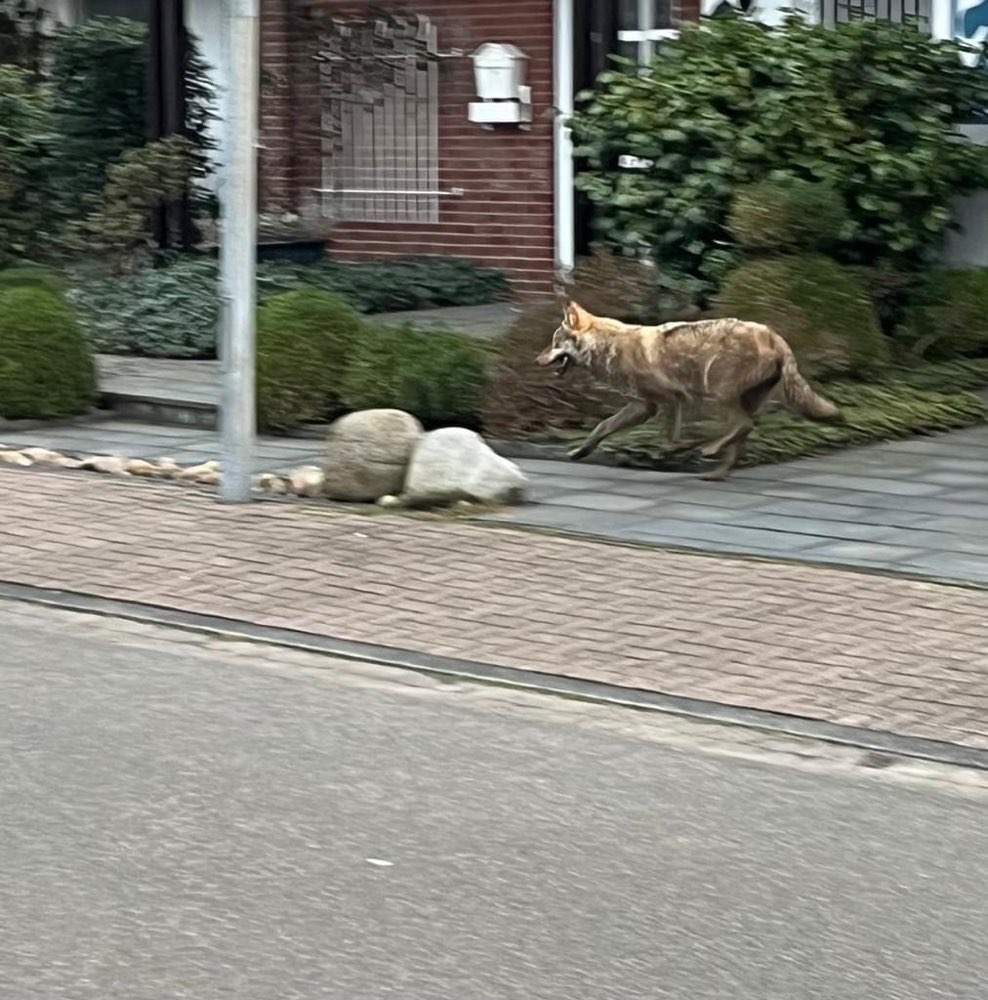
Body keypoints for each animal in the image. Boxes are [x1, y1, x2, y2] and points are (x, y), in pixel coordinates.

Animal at [535, 302, 841, 481]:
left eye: (553, 343)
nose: (535, 360)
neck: (610, 346)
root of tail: (774, 336)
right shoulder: (645, 406)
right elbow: (603, 426)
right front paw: (579, 452)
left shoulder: (665, 403)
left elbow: (670, 441)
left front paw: (692, 445)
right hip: (734, 400)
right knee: (742, 437)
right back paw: (715, 474)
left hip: (718, 395)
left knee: (744, 426)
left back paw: (711, 450)